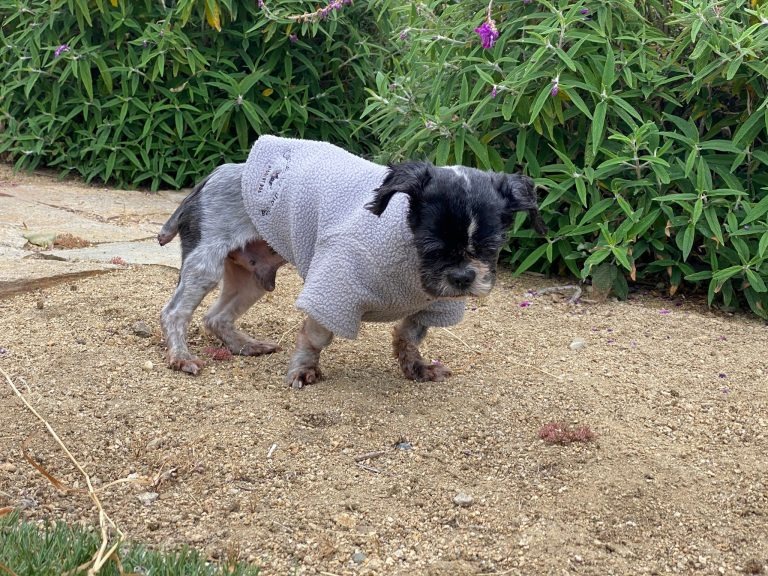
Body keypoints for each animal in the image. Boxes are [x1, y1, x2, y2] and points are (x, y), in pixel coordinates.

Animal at [158, 135, 544, 388]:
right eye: (432, 245)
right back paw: (181, 357)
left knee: (216, 317)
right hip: (205, 263)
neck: (411, 262)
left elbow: (409, 335)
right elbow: (315, 336)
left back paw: (245, 346)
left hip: (253, 278)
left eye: (491, 246)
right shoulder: (334, 288)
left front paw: (416, 368)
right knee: (174, 313)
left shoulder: (431, 305)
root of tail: (214, 175)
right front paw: (303, 371)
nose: (464, 277)